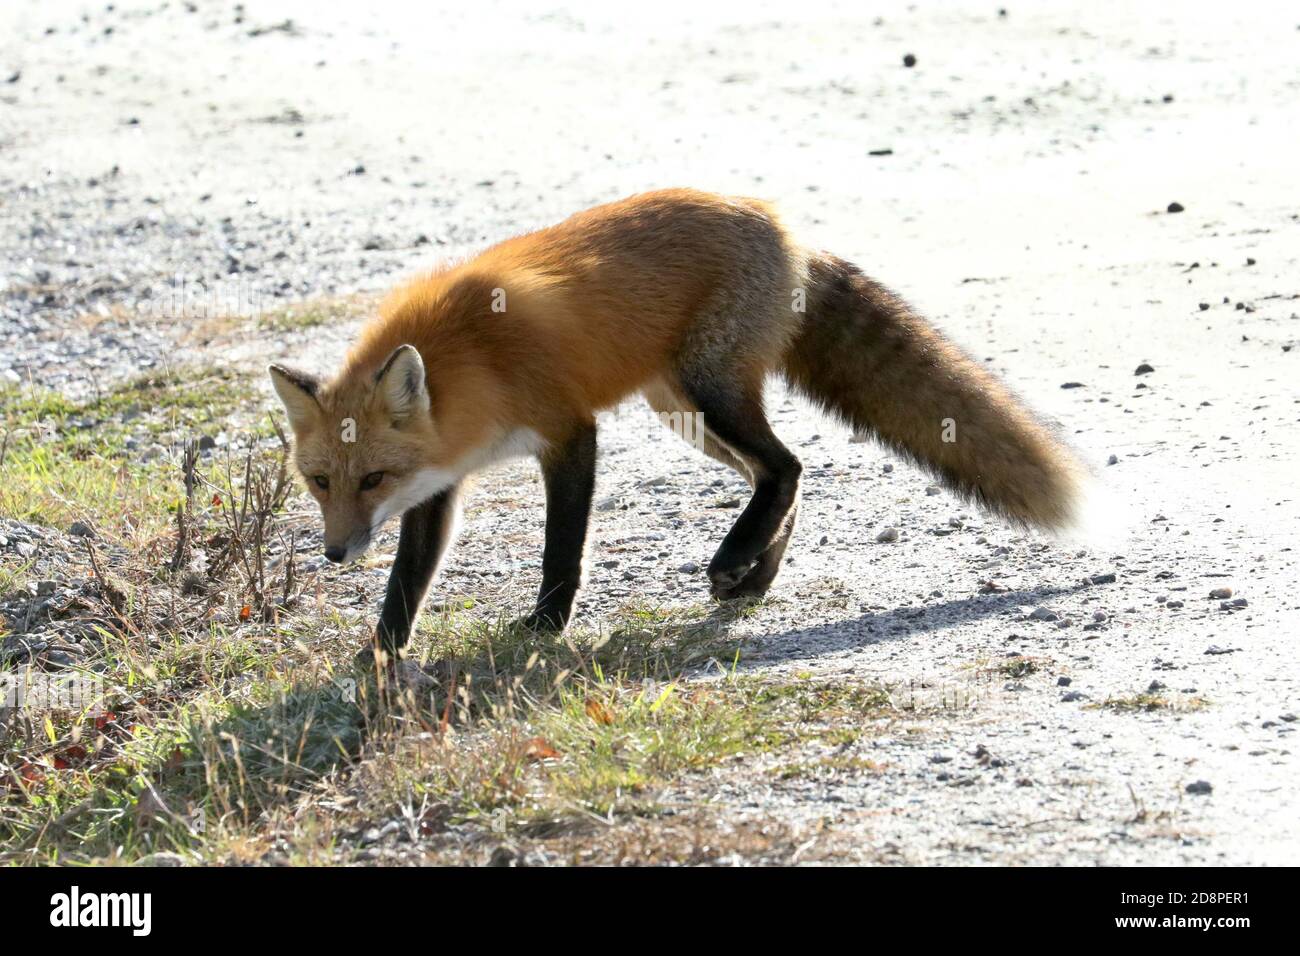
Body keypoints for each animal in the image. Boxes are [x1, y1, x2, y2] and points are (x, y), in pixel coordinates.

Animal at [269, 188, 1086, 661]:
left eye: (373, 478)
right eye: (320, 482)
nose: (334, 553)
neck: (473, 357)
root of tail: (783, 227)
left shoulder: (570, 432)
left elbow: (562, 549)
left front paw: (545, 627)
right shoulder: (441, 478)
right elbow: (409, 578)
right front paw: (379, 656)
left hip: (706, 392)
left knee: (787, 466)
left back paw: (736, 562)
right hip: (684, 414)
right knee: (783, 476)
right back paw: (754, 577)